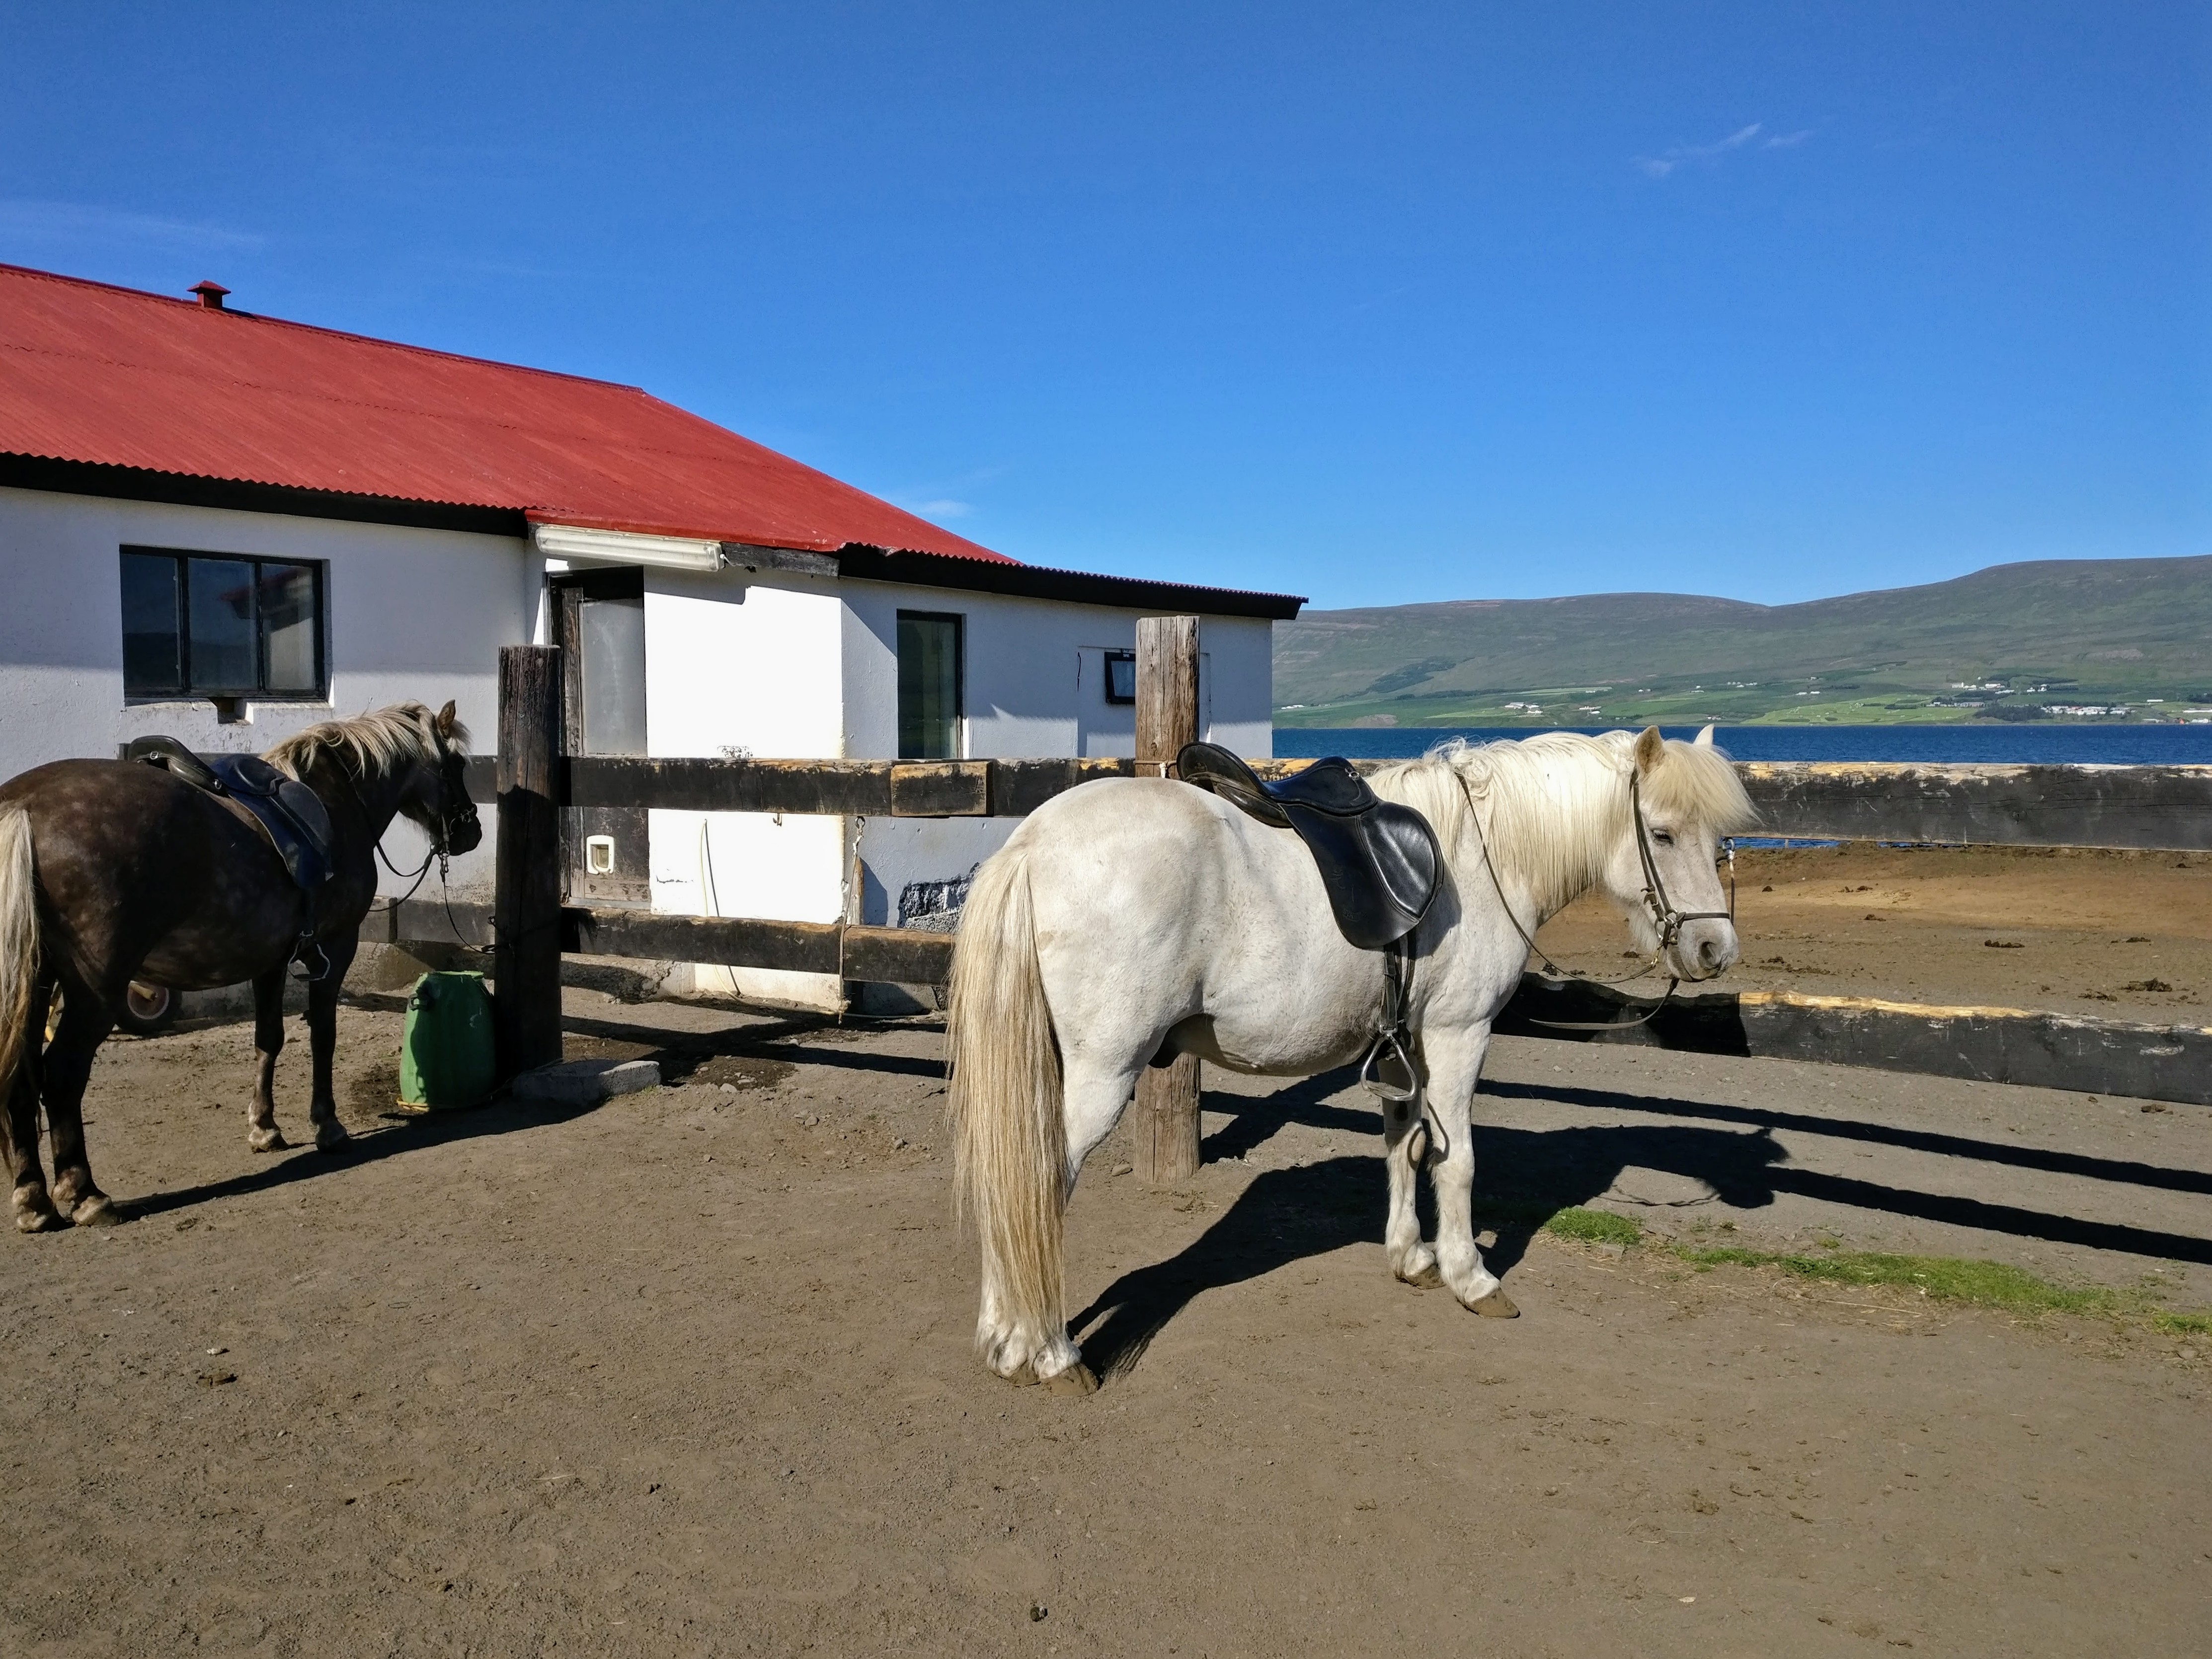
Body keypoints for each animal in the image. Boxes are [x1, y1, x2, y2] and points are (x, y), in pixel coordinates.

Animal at [0, 703, 480, 1239]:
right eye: (457, 765)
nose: (472, 832)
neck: (338, 800)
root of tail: (22, 808)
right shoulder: (336, 947)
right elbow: (323, 1036)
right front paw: (327, 1125)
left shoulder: (270, 959)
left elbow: (268, 1039)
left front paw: (264, 1127)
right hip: (95, 991)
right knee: (62, 1074)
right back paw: (85, 1194)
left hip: (35, 979)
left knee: (20, 1079)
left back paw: (33, 1200)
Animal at [942, 725, 1751, 1389]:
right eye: (1662, 833)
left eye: (1717, 837)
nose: (1714, 948)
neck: (1479, 853)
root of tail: (1031, 847)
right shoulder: (1459, 1032)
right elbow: (1459, 1160)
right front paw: (1471, 1276)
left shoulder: (1401, 1043)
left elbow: (1406, 1145)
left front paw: (1412, 1257)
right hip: (1102, 1078)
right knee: (1039, 1182)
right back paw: (1049, 1352)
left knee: (1004, 1179)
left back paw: (1002, 1339)